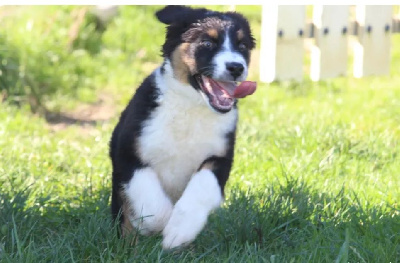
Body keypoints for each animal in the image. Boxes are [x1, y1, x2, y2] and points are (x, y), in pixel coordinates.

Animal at [109, 5, 258, 250]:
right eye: (207, 43)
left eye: (242, 46)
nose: (236, 67)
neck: (191, 105)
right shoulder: (127, 151)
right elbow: (150, 197)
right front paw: (153, 225)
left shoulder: (220, 157)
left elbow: (202, 188)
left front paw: (179, 232)